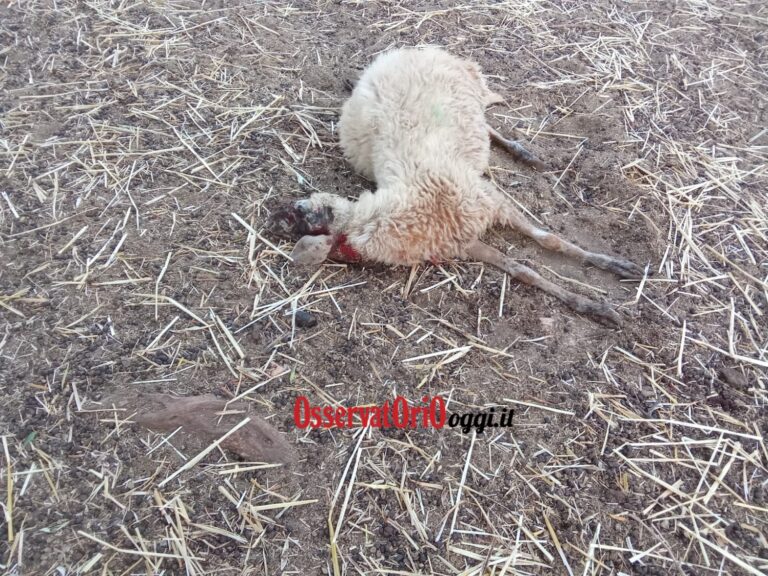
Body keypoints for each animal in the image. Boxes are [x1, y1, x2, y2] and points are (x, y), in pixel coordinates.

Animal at [267, 47, 643, 326]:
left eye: (302, 213)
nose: (271, 216)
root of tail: (394, 56)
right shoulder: (467, 243)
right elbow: (522, 270)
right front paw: (589, 304)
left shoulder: (492, 201)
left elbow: (549, 239)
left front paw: (614, 269)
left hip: (468, 95)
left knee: (489, 126)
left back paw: (526, 154)